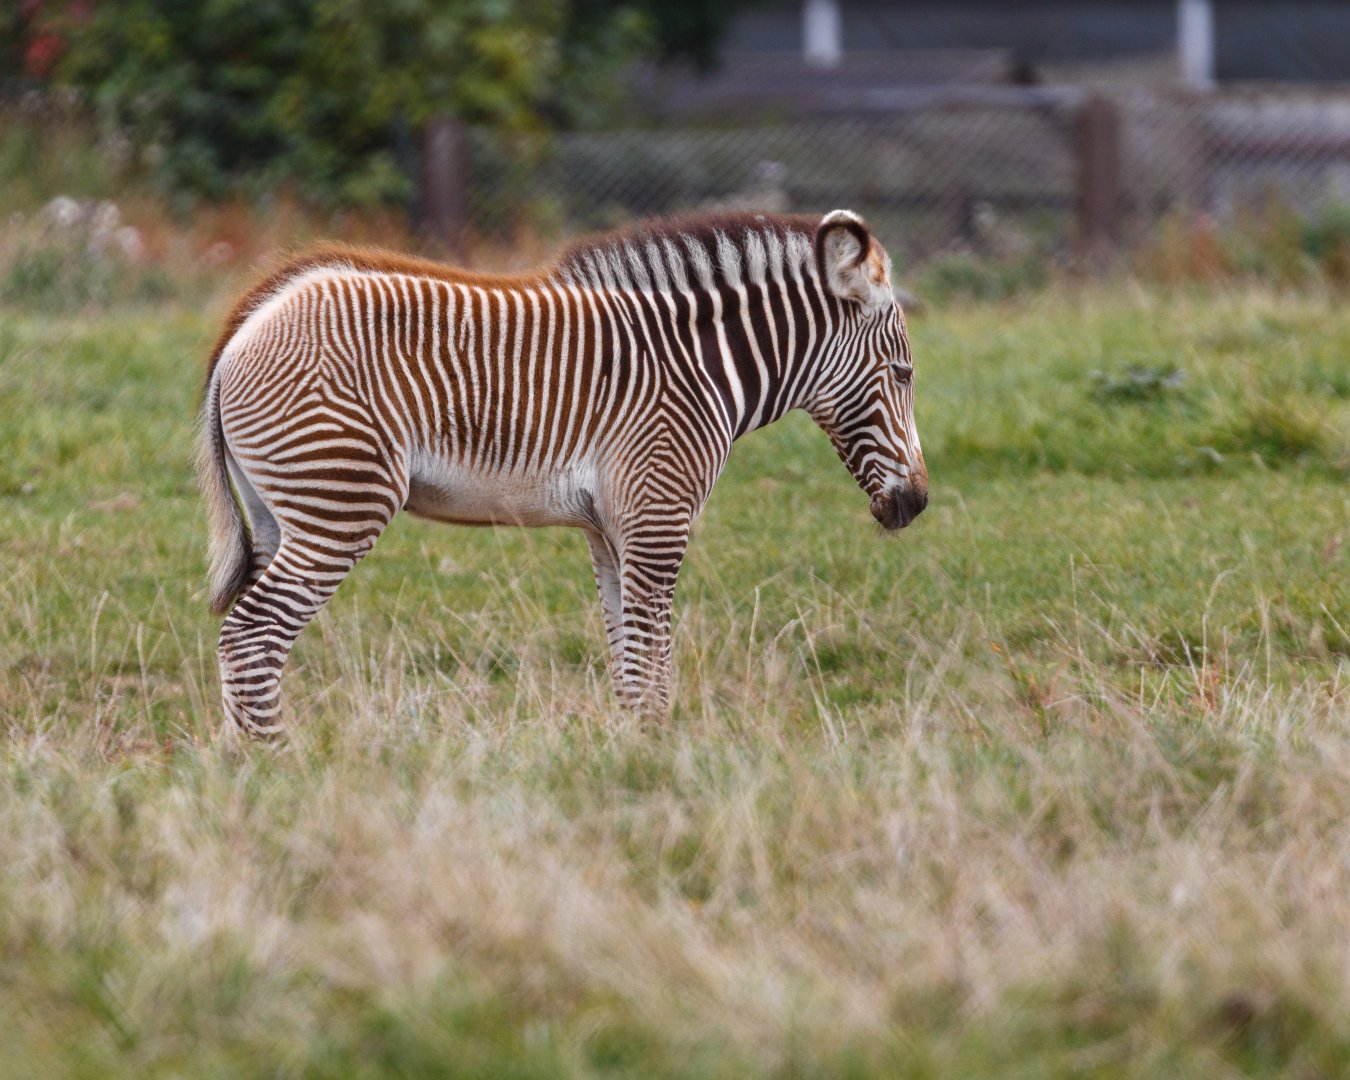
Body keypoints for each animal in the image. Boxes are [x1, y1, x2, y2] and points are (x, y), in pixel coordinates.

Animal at [197, 209, 927, 739]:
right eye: (903, 374)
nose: (917, 504)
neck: (699, 367)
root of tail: (248, 321)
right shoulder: (658, 518)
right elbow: (650, 656)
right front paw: (657, 759)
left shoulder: (612, 528)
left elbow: (629, 661)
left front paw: (632, 755)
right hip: (340, 502)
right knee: (251, 635)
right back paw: (278, 767)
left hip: (280, 515)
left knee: (247, 638)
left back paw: (242, 770)